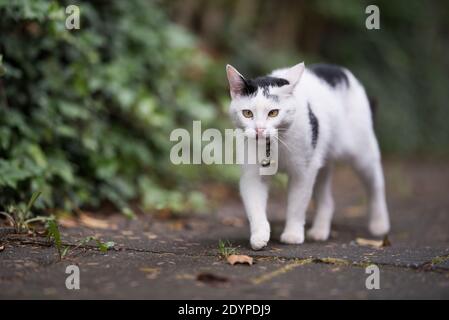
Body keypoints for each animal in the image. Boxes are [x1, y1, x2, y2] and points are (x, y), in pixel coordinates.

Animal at [226, 62, 390, 250]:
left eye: (273, 113)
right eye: (247, 113)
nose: (259, 129)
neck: (274, 145)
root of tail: (336, 68)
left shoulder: (303, 172)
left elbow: (297, 205)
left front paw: (293, 235)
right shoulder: (252, 175)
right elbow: (255, 208)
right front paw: (259, 235)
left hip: (361, 153)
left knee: (376, 184)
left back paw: (379, 224)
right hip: (321, 160)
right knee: (327, 201)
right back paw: (320, 231)